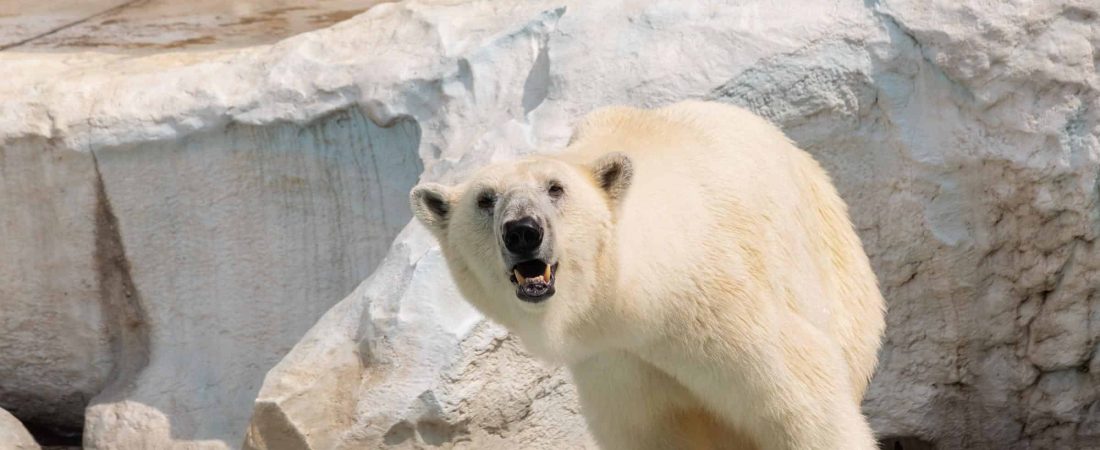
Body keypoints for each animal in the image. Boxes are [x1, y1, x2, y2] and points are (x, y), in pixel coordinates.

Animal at [409, 101, 886, 450]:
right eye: (485, 199)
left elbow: (804, 400)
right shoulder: (615, 364)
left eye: (555, 188)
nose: (523, 231)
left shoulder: (721, 310)